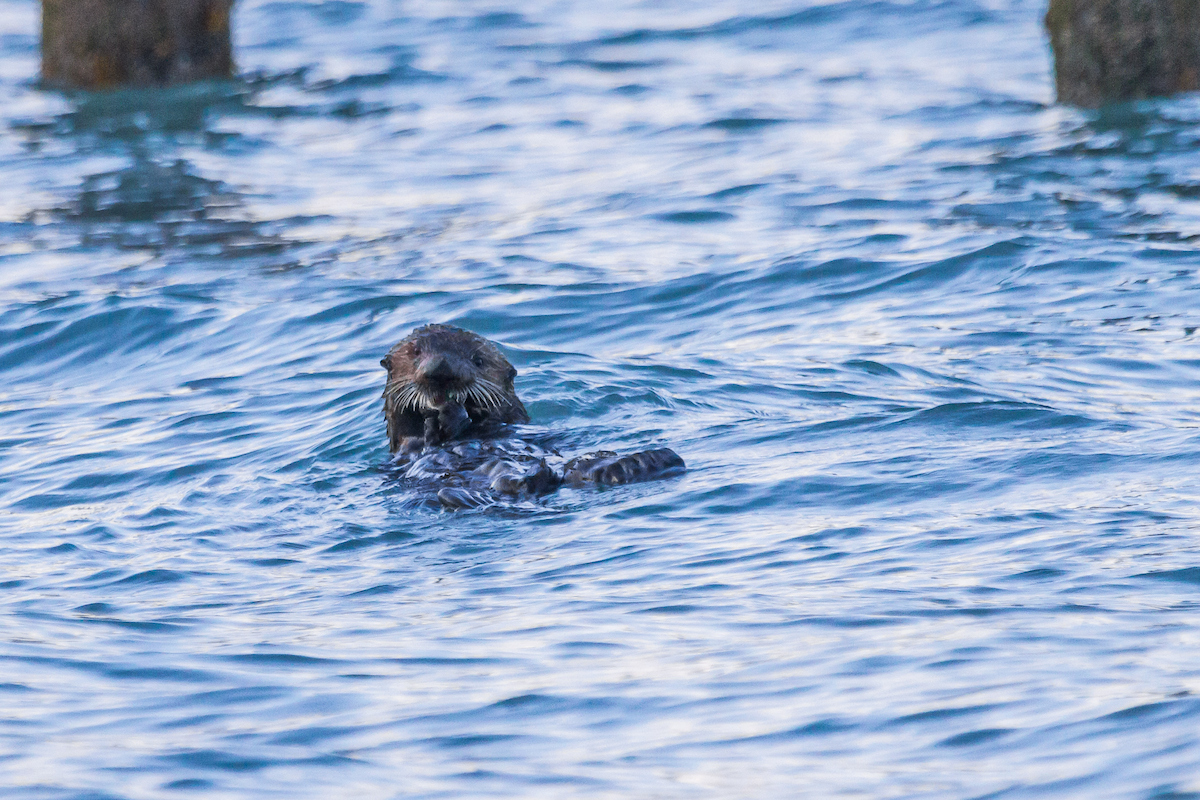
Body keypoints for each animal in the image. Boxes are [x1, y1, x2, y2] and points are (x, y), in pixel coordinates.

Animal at [381, 324, 685, 508]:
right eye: (416, 353)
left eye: (477, 360)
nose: (441, 370)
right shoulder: (406, 446)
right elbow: (419, 441)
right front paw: (442, 417)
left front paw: (453, 413)